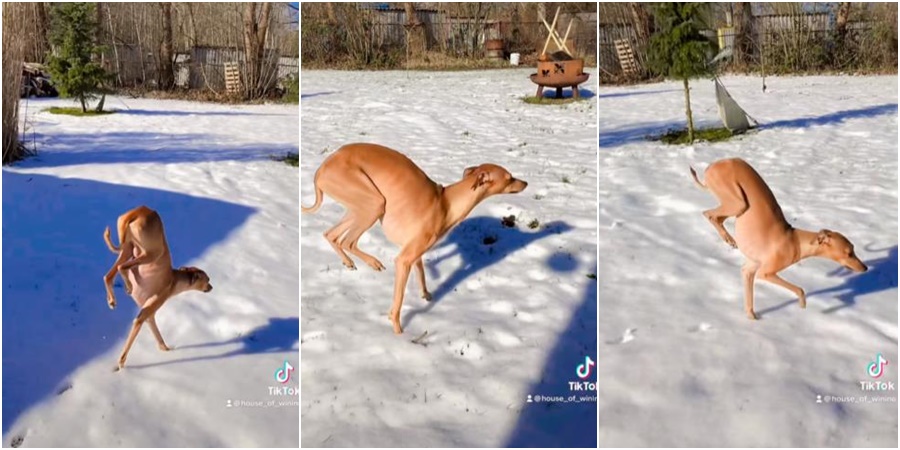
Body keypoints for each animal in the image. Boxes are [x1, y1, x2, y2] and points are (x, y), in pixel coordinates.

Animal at [103, 206, 213, 368]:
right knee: (122, 267)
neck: (174, 280)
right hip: (151, 252)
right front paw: (121, 363)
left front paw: (166, 350)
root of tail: (139, 211)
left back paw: (112, 300)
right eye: (208, 279)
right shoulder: (144, 314)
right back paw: (128, 286)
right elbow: (134, 332)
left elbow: (159, 338)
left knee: (108, 276)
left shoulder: (149, 316)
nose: (211, 287)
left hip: (129, 248)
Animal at [302, 144, 528, 334]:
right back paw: (373, 262)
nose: (526, 182)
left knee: (331, 235)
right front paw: (398, 330)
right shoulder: (404, 260)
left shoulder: (415, 251)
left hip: (357, 208)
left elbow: (422, 273)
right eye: (509, 177)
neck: (446, 203)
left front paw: (426, 294)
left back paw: (348, 262)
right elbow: (398, 301)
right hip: (374, 204)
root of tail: (321, 169)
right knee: (348, 241)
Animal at [692, 159, 868, 320]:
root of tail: (715, 164)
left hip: (734, 204)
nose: (865, 268)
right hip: (737, 202)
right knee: (708, 214)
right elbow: (800, 290)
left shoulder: (749, 269)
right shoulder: (765, 273)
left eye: (854, 249)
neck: (795, 241)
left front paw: (752, 318)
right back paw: (728, 238)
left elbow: (749, 299)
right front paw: (803, 305)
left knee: (714, 216)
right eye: (848, 253)